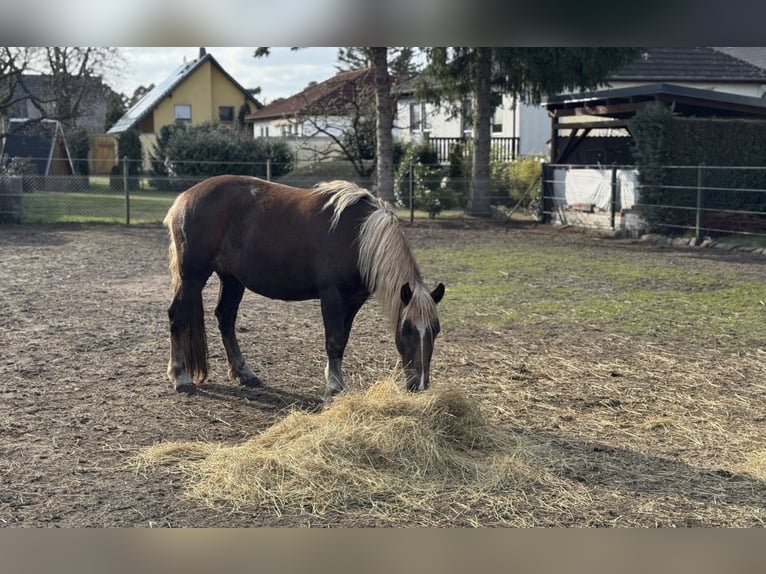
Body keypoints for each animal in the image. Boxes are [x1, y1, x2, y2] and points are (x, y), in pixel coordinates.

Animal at [163, 175, 445, 402]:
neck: (359, 236)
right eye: (407, 328)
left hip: (232, 279)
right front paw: (333, 388)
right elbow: (334, 341)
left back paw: (245, 373)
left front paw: (337, 382)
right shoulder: (332, 297)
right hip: (193, 277)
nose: (419, 386)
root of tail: (184, 198)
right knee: (178, 316)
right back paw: (180, 376)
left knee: (226, 318)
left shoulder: (353, 301)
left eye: (436, 330)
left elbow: (342, 340)